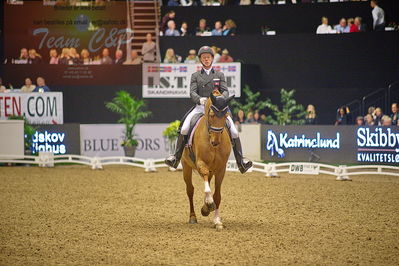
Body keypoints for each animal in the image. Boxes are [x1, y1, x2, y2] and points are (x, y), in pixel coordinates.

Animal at [181, 90, 234, 230]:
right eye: (211, 115)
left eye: (226, 116)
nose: (215, 142)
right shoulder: (201, 163)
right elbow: (207, 189)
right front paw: (209, 203)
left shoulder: (221, 169)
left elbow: (217, 195)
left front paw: (217, 220)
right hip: (186, 166)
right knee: (190, 190)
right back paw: (193, 217)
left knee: (207, 182)